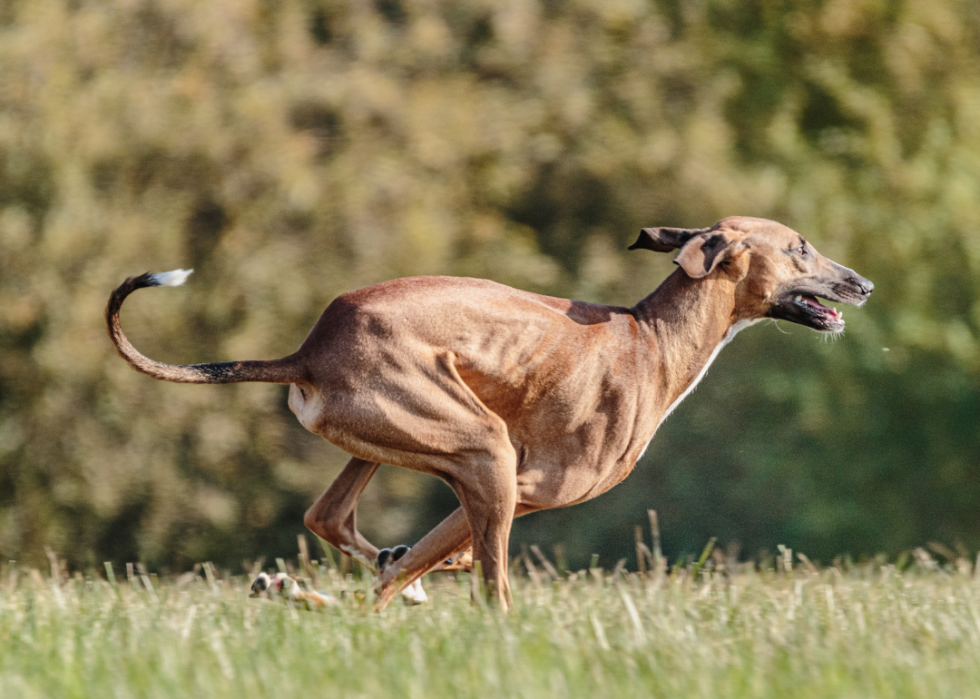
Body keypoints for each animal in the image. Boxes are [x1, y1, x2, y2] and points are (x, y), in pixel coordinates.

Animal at [107, 216, 872, 608]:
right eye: (800, 247)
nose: (863, 284)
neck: (651, 337)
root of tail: (310, 349)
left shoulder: (501, 494)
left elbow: (418, 561)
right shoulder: (524, 486)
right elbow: (447, 569)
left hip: (396, 446)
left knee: (334, 523)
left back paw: (313, 585)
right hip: (483, 451)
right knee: (468, 588)